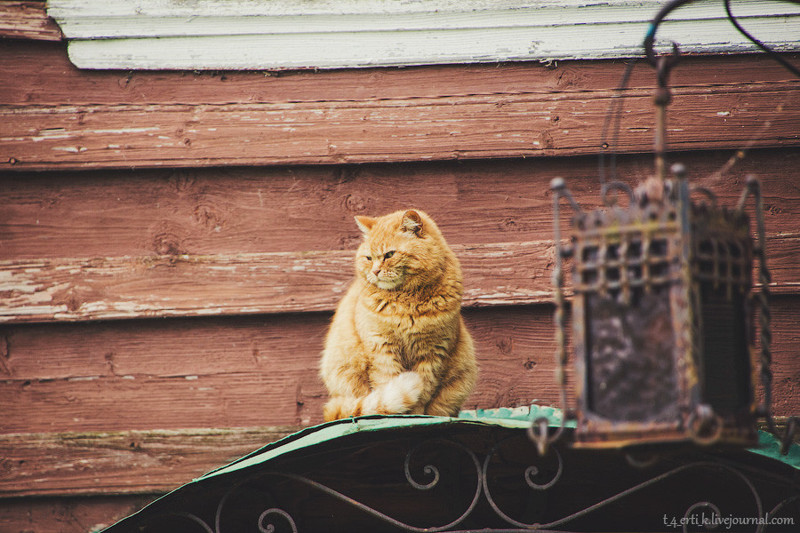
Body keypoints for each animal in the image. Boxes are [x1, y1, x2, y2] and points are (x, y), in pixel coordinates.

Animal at [320, 208, 482, 420]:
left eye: (389, 254)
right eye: (369, 258)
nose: (375, 271)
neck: (406, 303)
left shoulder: (433, 353)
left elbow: (423, 394)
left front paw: (417, 415)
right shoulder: (381, 350)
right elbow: (388, 384)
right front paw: (395, 413)